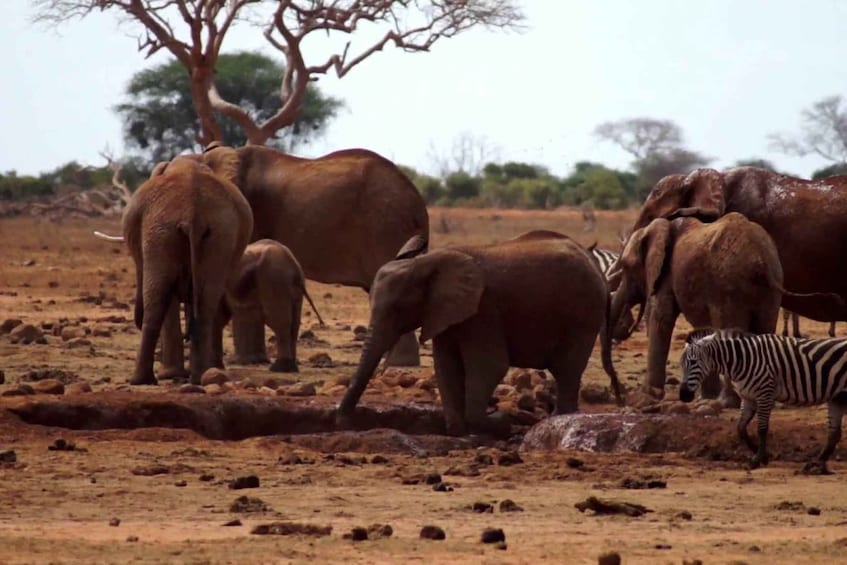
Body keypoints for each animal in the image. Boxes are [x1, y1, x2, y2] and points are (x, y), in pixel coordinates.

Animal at [121, 154, 253, 385]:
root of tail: (193, 211)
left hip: (159, 232)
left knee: (157, 299)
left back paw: (142, 380)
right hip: (218, 235)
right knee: (205, 304)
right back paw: (198, 377)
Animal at [221, 239, 324, 373]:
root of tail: (294, 268)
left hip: (273, 281)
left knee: (279, 322)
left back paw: (279, 368)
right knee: (294, 323)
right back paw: (291, 367)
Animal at [336, 230, 623, 436]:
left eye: (398, 308)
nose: (343, 419)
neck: (426, 262)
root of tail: (594, 264)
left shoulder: (483, 310)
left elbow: (489, 365)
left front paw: (496, 420)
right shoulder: (446, 313)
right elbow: (446, 367)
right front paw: (457, 432)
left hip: (583, 315)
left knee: (567, 369)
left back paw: (560, 420)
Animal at [609, 212, 836, 406]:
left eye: (627, 267)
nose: (620, 399)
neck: (659, 226)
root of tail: (760, 260)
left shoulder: (666, 276)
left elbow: (662, 318)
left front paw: (647, 397)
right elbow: (702, 329)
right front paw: (705, 397)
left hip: (728, 284)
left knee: (730, 333)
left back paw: (728, 402)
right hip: (770, 288)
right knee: (764, 329)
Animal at [679, 328, 847, 473]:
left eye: (693, 362)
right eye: (681, 365)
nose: (683, 396)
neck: (743, 360)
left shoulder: (765, 394)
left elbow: (762, 429)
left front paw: (757, 459)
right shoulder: (748, 397)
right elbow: (740, 428)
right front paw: (763, 456)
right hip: (837, 397)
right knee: (834, 433)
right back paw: (815, 464)